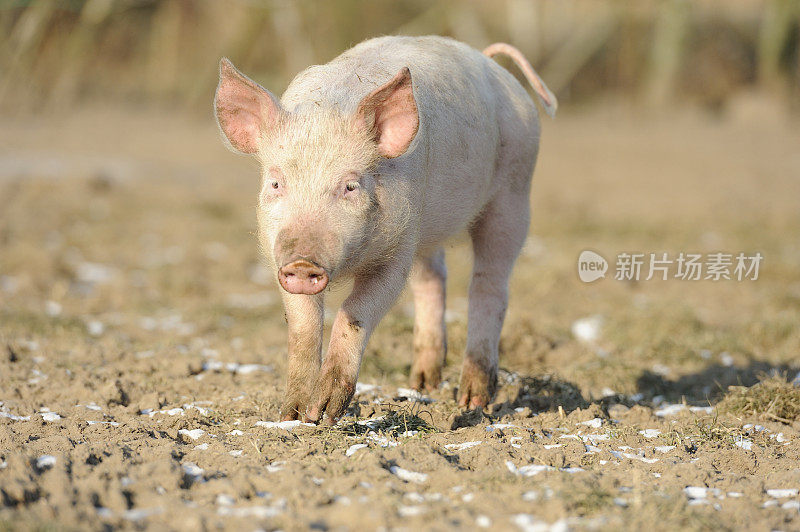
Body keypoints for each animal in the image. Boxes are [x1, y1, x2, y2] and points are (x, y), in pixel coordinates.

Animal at [212, 35, 556, 422]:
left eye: (350, 186)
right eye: (275, 183)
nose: (302, 262)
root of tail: (490, 63)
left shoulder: (396, 252)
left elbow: (355, 313)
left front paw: (328, 411)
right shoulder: (278, 259)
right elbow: (302, 326)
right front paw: (295, 415)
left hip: (514, 192)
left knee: (489, 285)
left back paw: (471, 402)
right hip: (427, 229)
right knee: (433, 278)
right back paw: (423, 384)